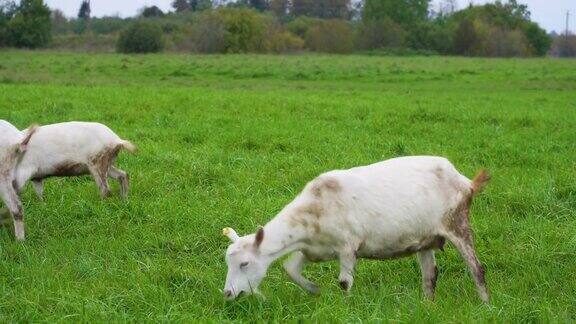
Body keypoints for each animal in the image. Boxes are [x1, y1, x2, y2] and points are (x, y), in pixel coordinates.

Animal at [224, 156, 490, 302]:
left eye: (244, 264)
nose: (227, 293)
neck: (315, 207)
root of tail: (465, 181)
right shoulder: (313, 249)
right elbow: (290, 269)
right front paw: (314, 289)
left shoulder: (347, 247)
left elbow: (344, 282)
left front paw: (345, 306)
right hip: (425, 237)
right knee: (429, 275)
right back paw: (427, 306)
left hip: (457, 223)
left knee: (476, 269)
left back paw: (486, 305)